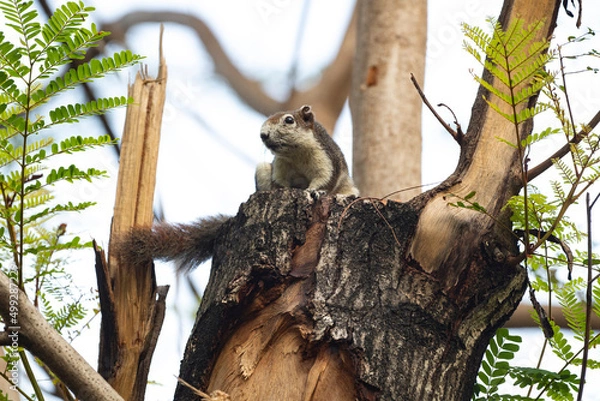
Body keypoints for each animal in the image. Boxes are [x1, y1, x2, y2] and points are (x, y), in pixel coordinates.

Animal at [117, 104, 358, 272]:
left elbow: (325, 179)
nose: (263, 135)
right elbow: (280, 184)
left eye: (289, 120)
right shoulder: (279, 167)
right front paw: (283, 191)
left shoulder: (327, 160)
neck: (295, 154)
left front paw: (315, 191)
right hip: (262, 169)